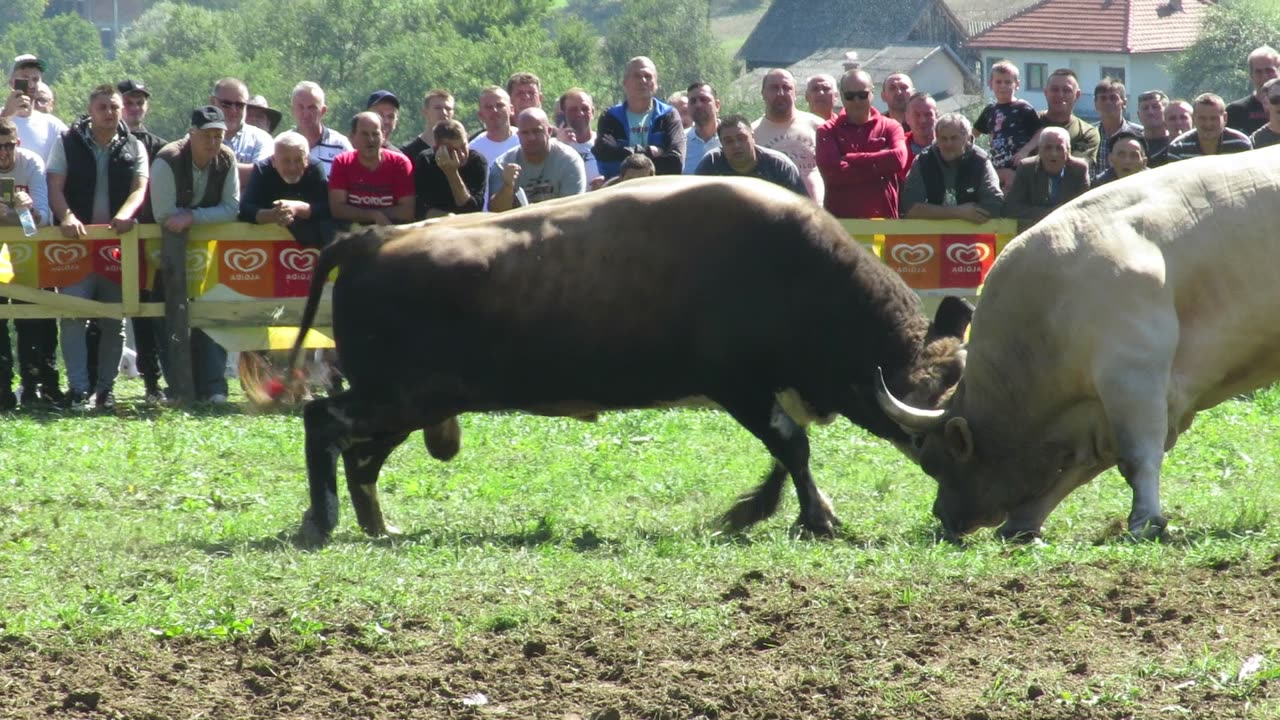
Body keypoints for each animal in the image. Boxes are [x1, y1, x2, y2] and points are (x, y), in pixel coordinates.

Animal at [277, 175, 962, 543]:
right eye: (948, 428)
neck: (796, 273)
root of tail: (373, 240)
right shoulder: (737, 384)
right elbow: (793, 445)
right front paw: (815, 517)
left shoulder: (762, 389)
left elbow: (784, 449)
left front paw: (760, 510)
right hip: (396, 396)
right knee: (323, 421)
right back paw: (322, 521)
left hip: (416, 402)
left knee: (360, 456)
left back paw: (377, 525)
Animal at [885, 144, 1280, 538]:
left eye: (935, 462)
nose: (942, 516)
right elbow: (1079, 470)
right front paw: (1023, 522)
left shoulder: (1133, 378)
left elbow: (1138, 456)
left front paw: (1145, 520)